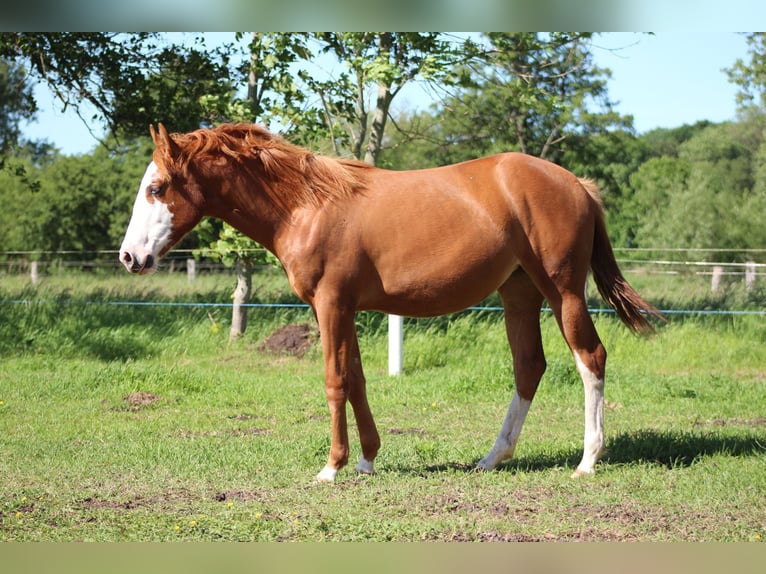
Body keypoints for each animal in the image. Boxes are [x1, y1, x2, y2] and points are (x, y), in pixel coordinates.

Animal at [119, 123, 662, 482]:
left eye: (157, 187)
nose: (130, 256)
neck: (306, 205)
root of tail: (578, 185)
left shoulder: (332, 305)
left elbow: (335, 380)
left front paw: (331, 468)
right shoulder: (343, 310)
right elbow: (357, 379)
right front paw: (365, 459)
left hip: (562, 292)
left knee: (590, 358)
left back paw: (588, 460)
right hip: (519, 293)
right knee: (529, 366)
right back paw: (492, 458)